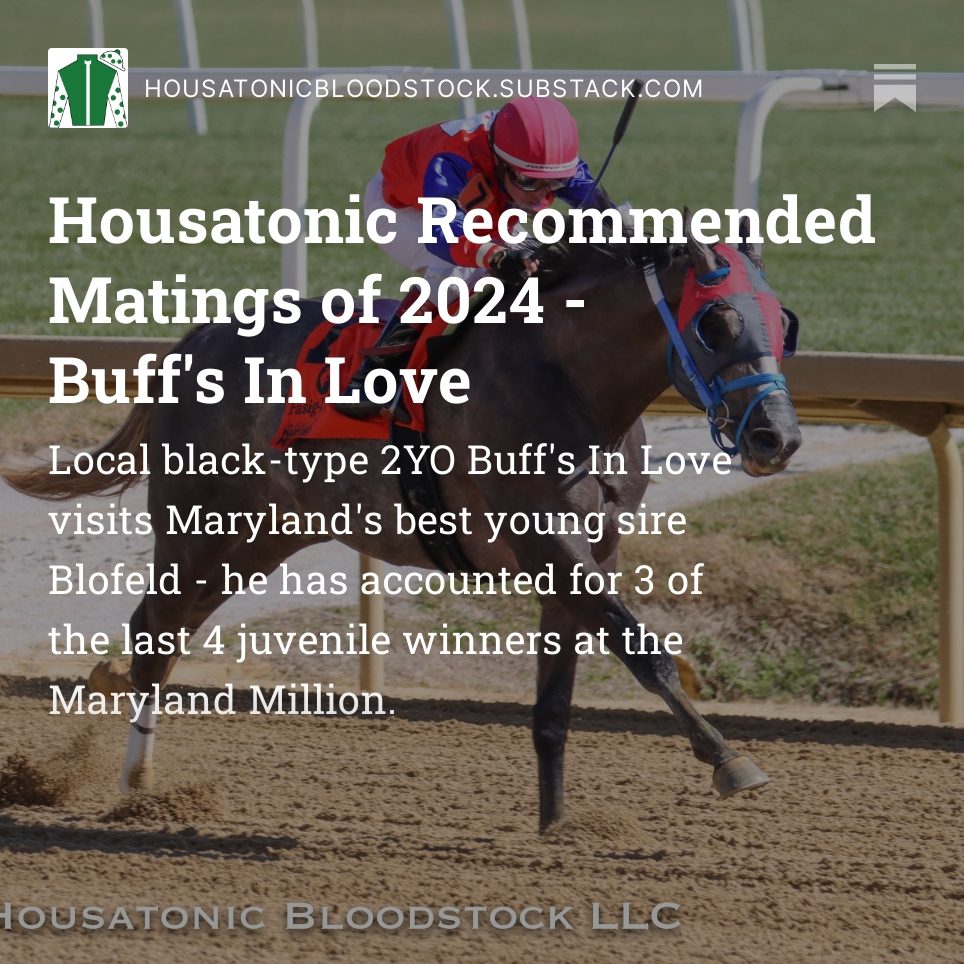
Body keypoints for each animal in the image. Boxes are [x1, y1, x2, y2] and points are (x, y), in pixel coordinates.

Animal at [3, 212, 802, 832]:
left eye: (784, 322)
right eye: (717, 320)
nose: (778, 437)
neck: (566, 380)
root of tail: (192, 342)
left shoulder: (585, 554)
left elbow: (556, 700)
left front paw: (555, 826)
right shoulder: (544, 537)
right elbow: (643, 650)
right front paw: (731, 761)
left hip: (260, 537)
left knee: (167, 635)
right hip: (199, 526)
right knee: (152, 632)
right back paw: (134, 787)